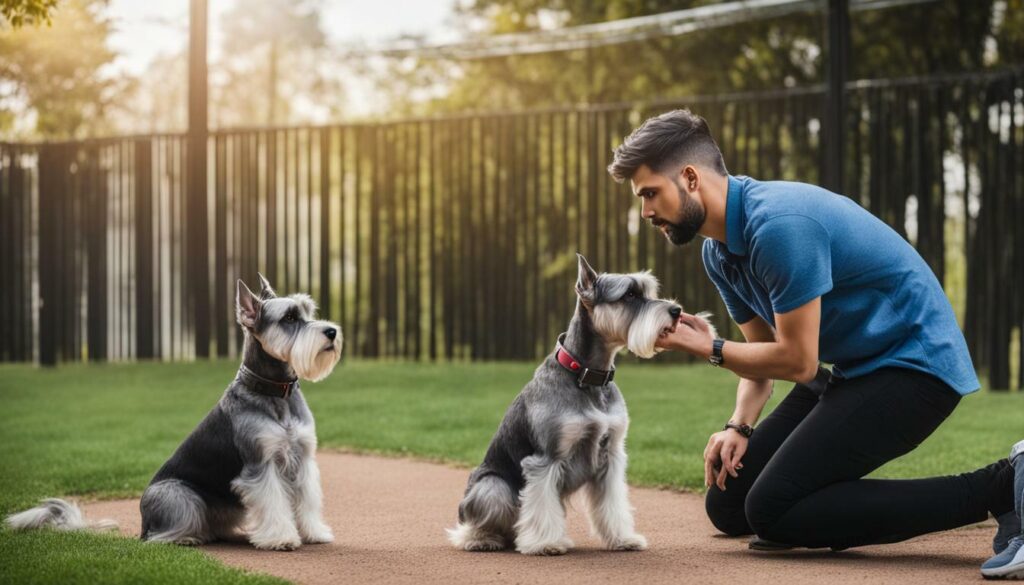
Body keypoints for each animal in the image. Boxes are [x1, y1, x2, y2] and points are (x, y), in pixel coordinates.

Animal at [4, 276, 344, 553]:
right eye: (289, 317)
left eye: (309, 311)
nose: (332, 332)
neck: (274, 393)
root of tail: (142, 524)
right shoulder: (261, 465)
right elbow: (274, 503)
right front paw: (280, 538)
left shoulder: (303, 459)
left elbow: (307, 500)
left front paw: (314, 532)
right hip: (178, 495)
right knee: (160, 537)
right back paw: (186, 537)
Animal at [444, 254, 716, 557]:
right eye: (629, 294)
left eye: (648, 291)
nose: (676, 310)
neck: (588, 376)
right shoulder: (546, 459)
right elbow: (541, 506)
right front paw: (546, 543)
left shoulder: (611, 456)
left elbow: (613, 504)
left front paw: (623, 538)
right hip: (492, 486)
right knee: (475, 521)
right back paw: (481, 538)